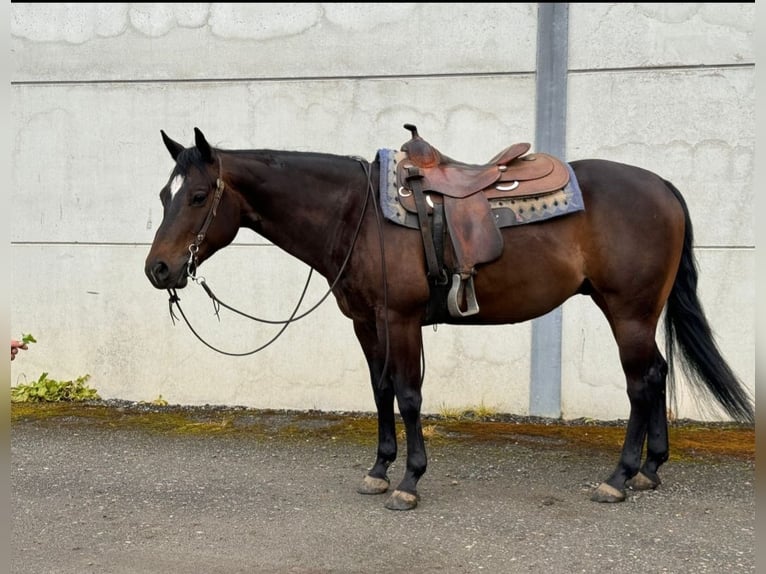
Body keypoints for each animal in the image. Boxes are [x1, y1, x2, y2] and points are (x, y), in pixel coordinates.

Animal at [144, 127, 756, 512]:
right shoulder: (366, 322)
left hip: (627, 310)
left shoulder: (401, 319)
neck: (358, 213)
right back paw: (652, 469)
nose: (158, 269)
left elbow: (409, 395)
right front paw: (379, 470)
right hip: (638, 312)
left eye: (197, 196)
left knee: (641, 382)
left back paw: (620, 477)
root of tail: (664, 188)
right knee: (657, 375)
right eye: (164, 194)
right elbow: (381, 391)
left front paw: (409, 481)